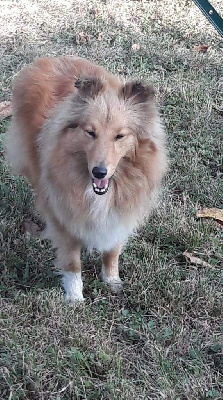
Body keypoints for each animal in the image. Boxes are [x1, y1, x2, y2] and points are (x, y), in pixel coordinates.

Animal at [6, 55, 167, 300]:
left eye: (120, 136)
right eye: (90, 132)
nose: (99, 172)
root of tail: (47, 59)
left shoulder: (119, 214)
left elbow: (112, 250)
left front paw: (111, 279)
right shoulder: (65, 218)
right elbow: (72, 262)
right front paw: (75, 297)